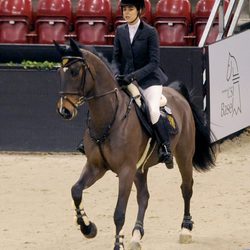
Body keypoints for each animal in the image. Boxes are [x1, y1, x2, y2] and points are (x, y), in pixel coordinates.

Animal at [54, 39, 215, 250]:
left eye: (74, 71)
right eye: (59, 72)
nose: (64, 111)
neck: (109, 118)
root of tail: (177, 93)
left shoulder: (125, 170)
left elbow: (119, 213)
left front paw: (117, 244)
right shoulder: (96, 166)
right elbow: (76, 191)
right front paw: (87, 228)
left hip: (184, 155)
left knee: (186, 188)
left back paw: (185, 229)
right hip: (141, 168)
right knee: (144, 196)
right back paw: (136, 235)